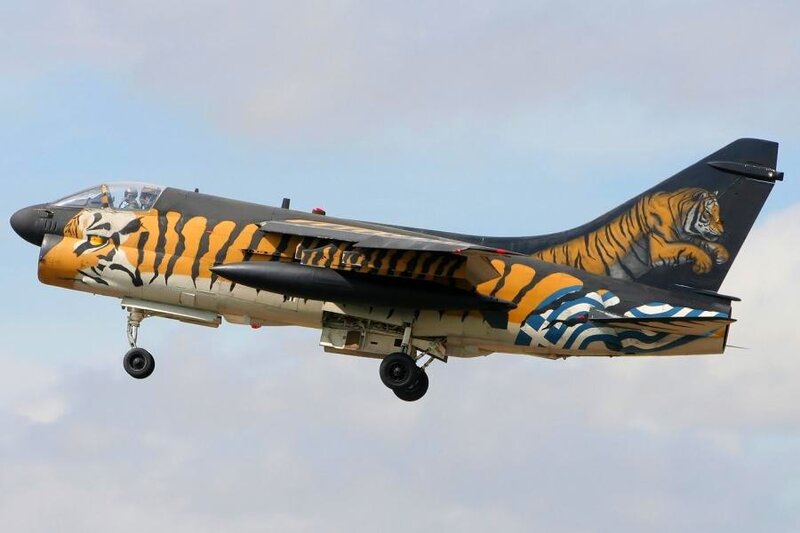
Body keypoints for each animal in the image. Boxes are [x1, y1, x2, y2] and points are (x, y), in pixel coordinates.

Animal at [531, 187, 729, 280]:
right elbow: (689, 247)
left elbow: (700, 242)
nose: (722, 231)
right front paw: (704, 262)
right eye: (708, 214)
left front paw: (720, 253)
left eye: (719, 215)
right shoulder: (659, 249)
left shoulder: (685, 236)